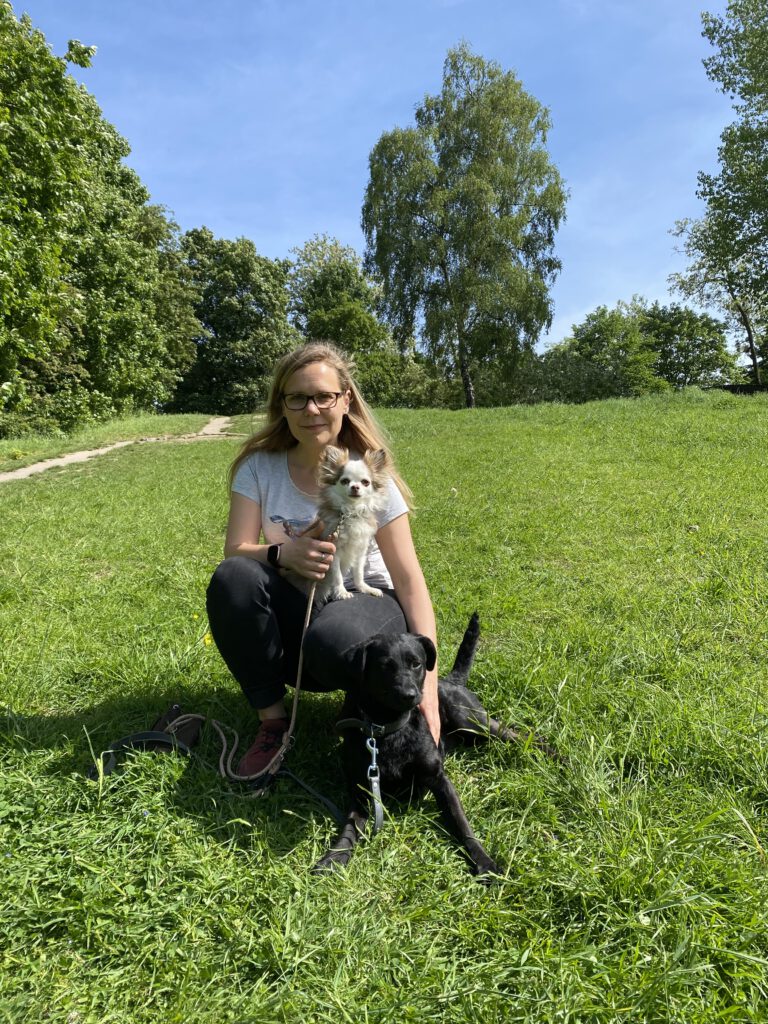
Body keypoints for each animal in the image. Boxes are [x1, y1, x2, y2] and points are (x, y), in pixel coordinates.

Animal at [313, 446, 391, 602]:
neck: (351, 512)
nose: (355, 487)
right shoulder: (333, 550)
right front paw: (341, 592)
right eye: (345, 481)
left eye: (365, 482)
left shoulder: (360, 550)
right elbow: (337, 575)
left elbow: (359, 573)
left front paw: (365, 588)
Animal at [315, 610, 557, 876]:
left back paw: (556, 756)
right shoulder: (363, 790)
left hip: (473, 721)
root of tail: (452, 681)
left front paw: (484, 862)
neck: (390, 730)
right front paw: (334, 857)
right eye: (384, 666)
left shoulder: (440, 780)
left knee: (521, 735)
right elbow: (349, 828)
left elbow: (462, 825)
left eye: (416, 663)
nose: (409, 695)